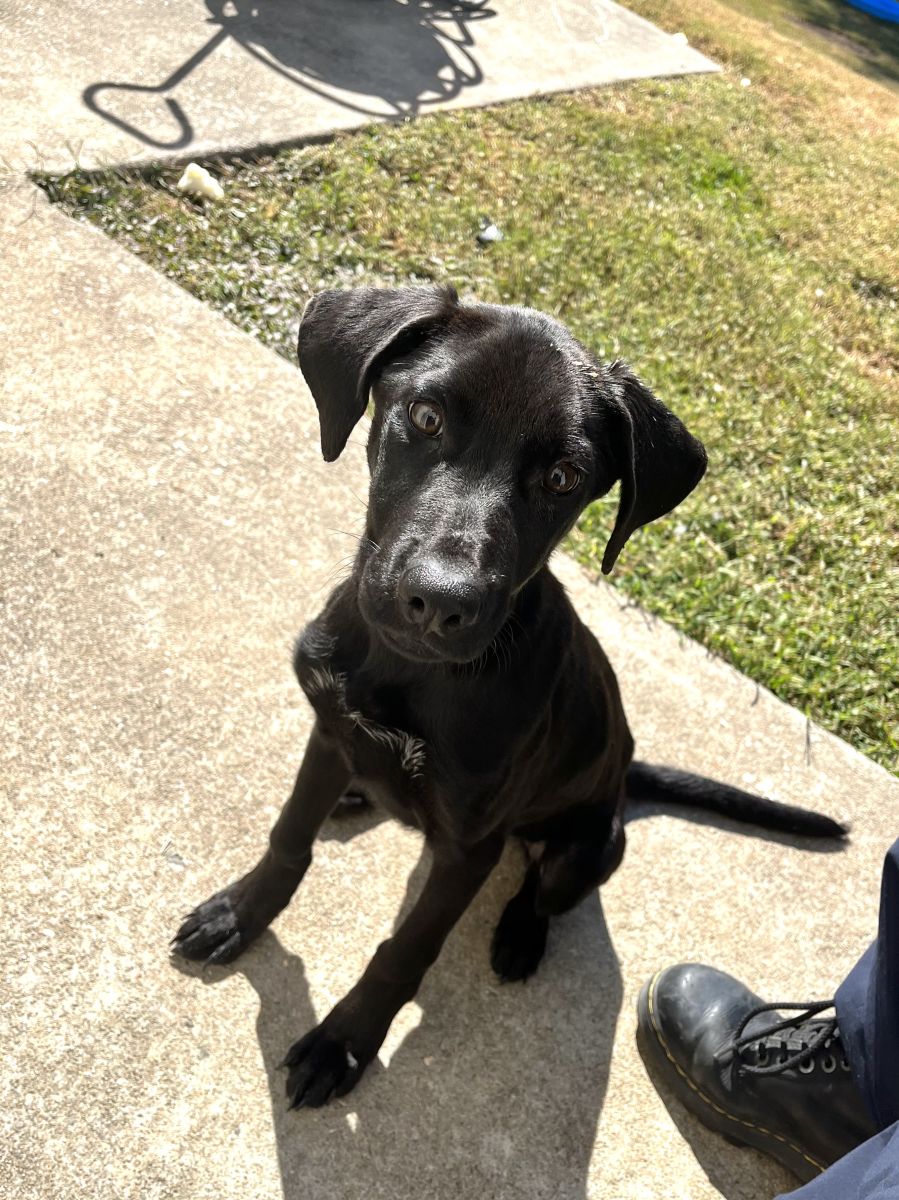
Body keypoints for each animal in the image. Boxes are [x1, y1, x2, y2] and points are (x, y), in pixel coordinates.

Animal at [171, 288, 844, 1104]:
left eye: (562, 478)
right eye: (426, 416)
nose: (438, 602)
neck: (412, 671)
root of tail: (625, 779)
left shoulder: (470, 848)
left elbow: (405, 949)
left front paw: (345, 1042)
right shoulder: (332, 729)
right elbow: (287, 838)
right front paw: (240, 914)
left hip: (589, 847)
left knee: (541, 885)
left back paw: (521, 932)